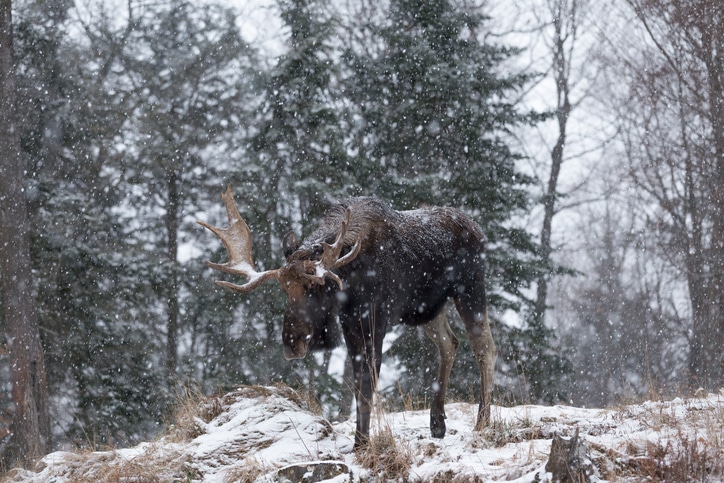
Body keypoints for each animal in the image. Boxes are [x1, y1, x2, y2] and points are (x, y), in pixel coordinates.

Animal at [198, 186, 498, 450]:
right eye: (284, 288)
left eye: (316, 286)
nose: (292, 343)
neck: (352, 282)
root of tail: (479, 230)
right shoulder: (350, 323)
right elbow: (356, 385)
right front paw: (360, 440)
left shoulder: (376, 318)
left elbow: (368, 382)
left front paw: (362, 443)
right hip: (427, 310)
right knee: (450, 343)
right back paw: (437, 423)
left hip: (470, 288)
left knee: (485, 347)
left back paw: (482, 422)